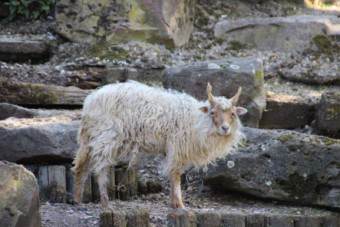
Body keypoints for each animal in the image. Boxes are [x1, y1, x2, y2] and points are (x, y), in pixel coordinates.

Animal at [72, 80, 247, 209]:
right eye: (213, 113)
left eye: (232, 114)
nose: (225, 128)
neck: (197, 121)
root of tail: (90, 101)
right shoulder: (177, 147)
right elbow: (175, 174)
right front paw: (180, 205)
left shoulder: (170, 149)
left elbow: (171, 174)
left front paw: (173, 203)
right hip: (107, 136)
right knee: (100, 168)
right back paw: (105, 202)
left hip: (90, 139)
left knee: (81, 166)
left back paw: (78, 199)